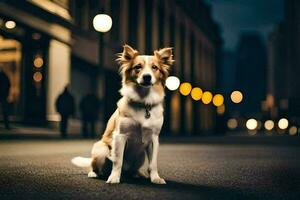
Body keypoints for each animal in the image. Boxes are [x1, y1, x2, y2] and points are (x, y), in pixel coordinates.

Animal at [71, 44, 173, 184]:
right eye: (138, 67)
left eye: (154, 67)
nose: (147, 76)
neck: (143, 102)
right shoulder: (120, 136)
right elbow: (118, 161)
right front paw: (114, 178)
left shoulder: (154, 139)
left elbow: (153, 164)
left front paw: (155, 178)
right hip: (101, 149)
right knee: (95, 166)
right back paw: (95, 173)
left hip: (140, 156)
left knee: (132, 170)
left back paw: (137, 174)